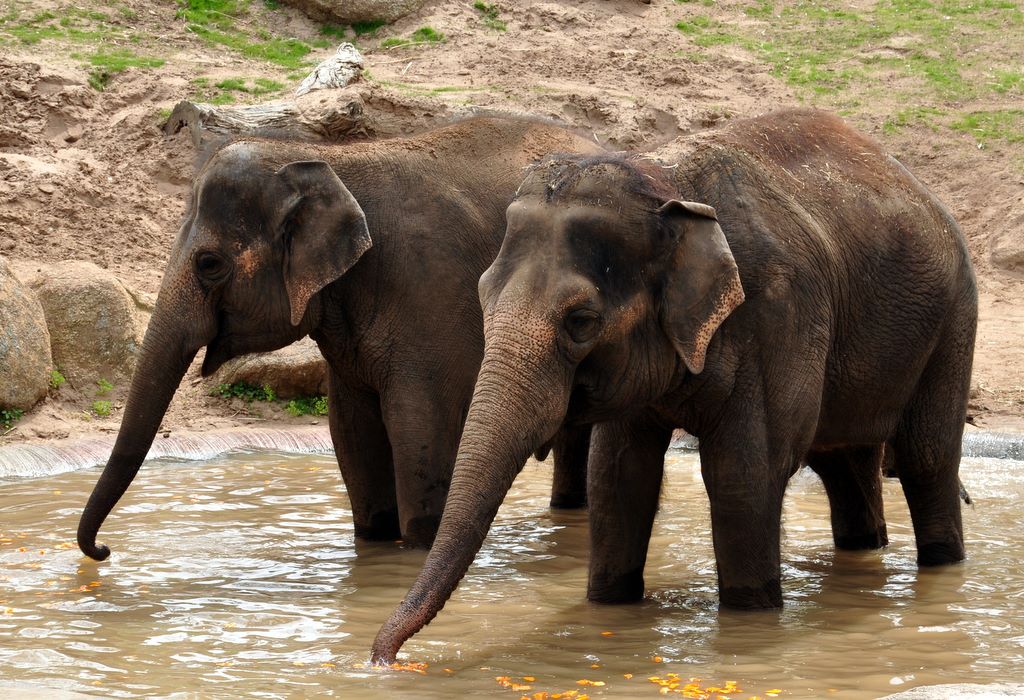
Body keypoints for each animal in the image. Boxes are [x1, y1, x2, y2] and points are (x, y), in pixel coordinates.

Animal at [77, 116, 603, 560]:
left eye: (209, 264)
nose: (103, 550)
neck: (327, 159)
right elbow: (350, 431)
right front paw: (374, 544)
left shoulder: (433, 296)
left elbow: (420, 428)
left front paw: (417, 548)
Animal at [371, 108, 977, 663]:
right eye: (482, 295)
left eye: (581, 321)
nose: (382, 659)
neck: (666, 182)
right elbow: (617, 476)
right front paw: (609, 608)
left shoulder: (777, 314)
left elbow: (743, 474)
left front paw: (750, 621)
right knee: (843, 463)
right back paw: (865, 548)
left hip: (955, 322)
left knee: (926, 458)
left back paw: (943, 564)